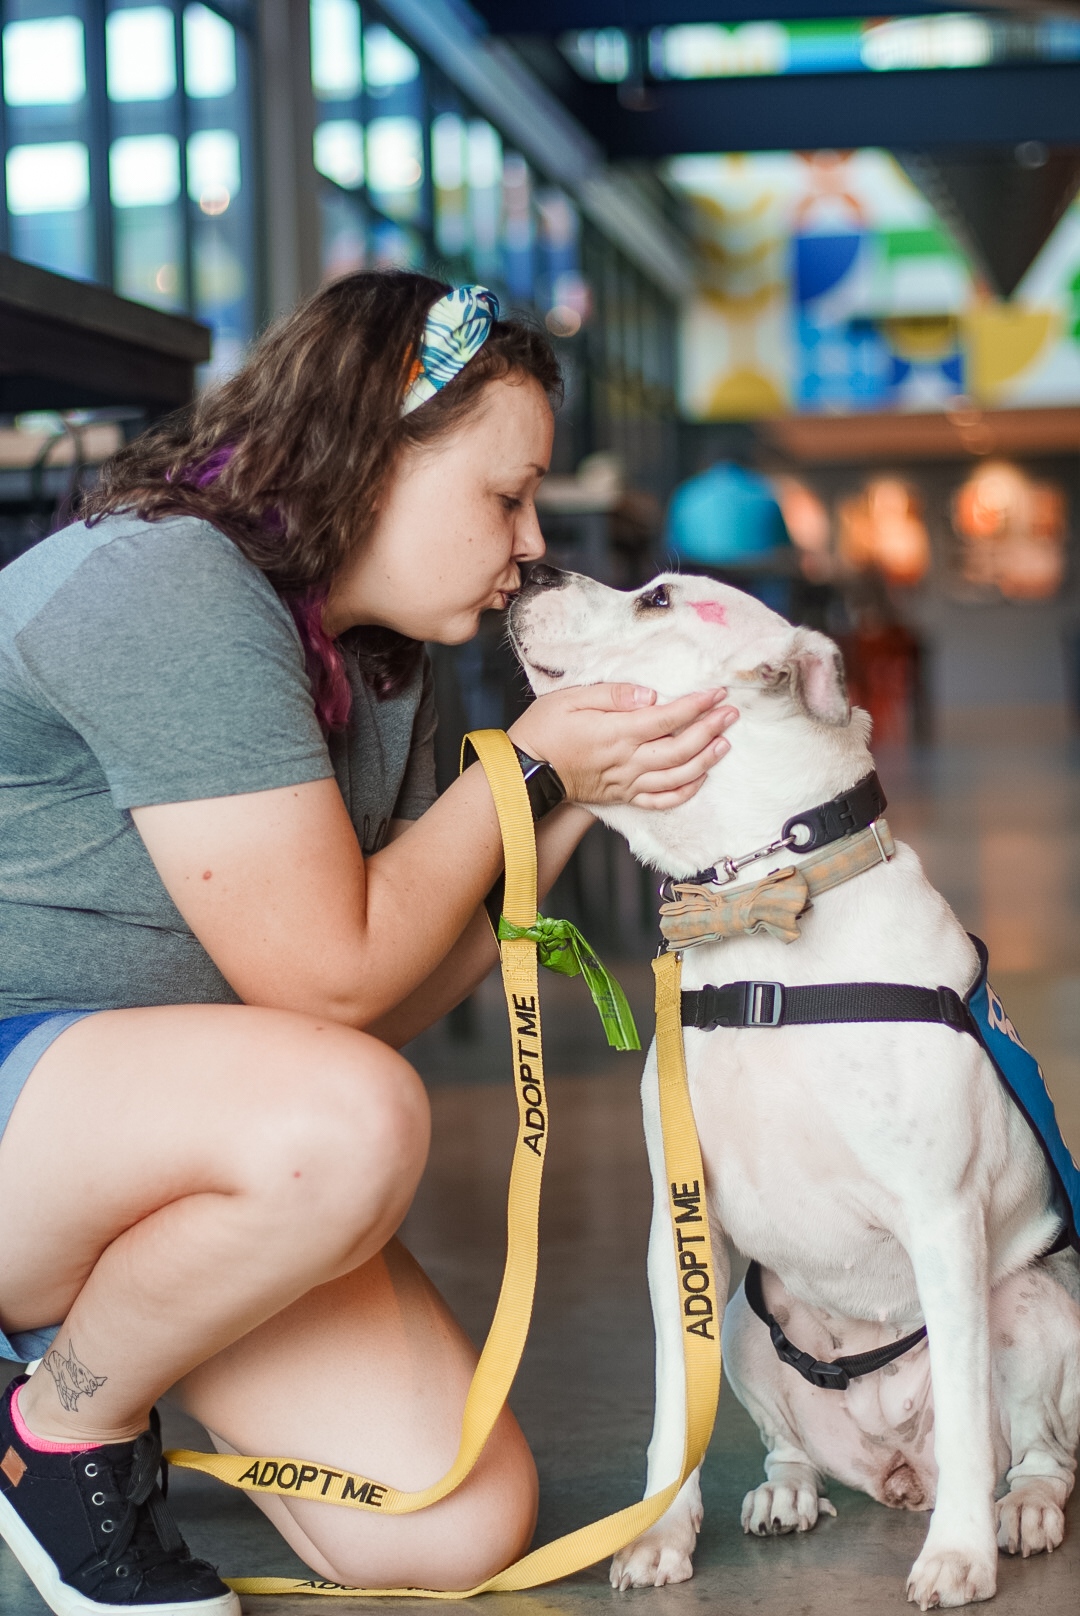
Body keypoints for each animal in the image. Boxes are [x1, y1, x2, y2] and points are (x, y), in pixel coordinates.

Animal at [507, 565, 1080, 1603]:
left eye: (658, 598)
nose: (531, 569)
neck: (758, 913)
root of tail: (900, 1464)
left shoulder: (943, 1217)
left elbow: (971, 1412)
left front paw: (961, 1555)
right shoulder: (681, 1225)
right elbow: (672, 1410)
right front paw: (662, 1533)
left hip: (1035, 1305)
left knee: (1032, 1450)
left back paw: (1019, 1510)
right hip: (743, 1317)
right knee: (790, 1445)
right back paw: (788, 1492)